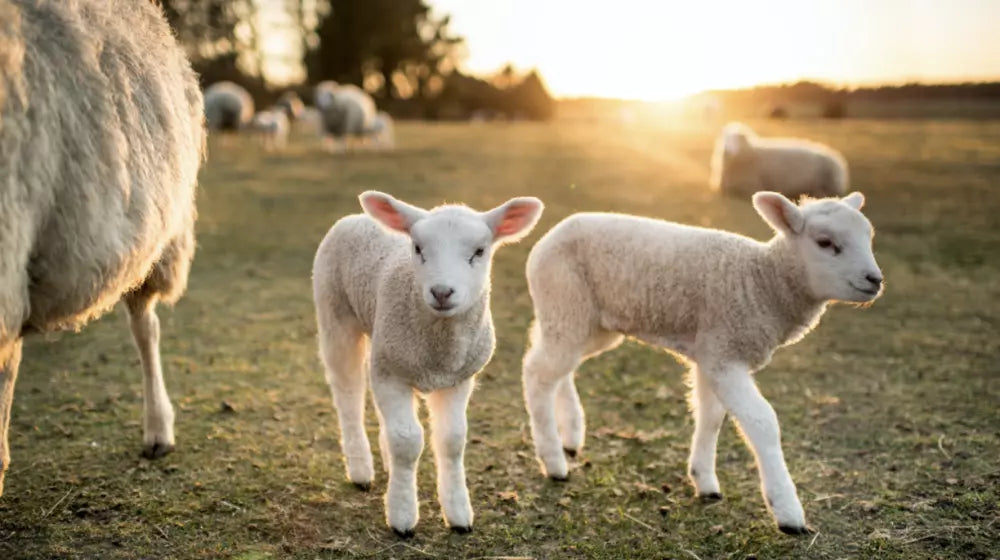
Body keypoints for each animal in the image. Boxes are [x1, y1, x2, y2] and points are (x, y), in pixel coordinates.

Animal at [312, 191, 543, 535]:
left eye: (479, 251)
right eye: (418, 248)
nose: (442, 292)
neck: (438, 353)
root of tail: (356, 217)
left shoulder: (457, 378)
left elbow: (451, 440)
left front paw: (459, 514)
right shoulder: (392, 373)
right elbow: (407, 441)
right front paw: (402, 515)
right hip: (336, 316)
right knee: (348, 395)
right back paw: (361, 469)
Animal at [521, 191, 882, 534]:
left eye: (869, 237)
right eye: (825, 243)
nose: (875, 280)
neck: (763, 281)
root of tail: (554, 232)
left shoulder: (712, 353)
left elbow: (711, 416)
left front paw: (704, 480)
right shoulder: (724, 354)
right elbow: (762, 422)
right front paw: (787, 510)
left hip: (589, 324)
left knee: (558, 365)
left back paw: (570, 435)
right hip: (565, 302)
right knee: (537, 372)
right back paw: (553, 461)